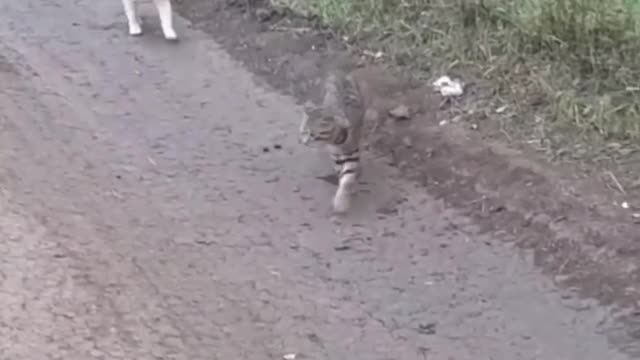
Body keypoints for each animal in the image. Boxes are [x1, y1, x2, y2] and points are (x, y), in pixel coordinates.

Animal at [298, 71, 364, 214]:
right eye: (303, 132)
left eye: (312, 135)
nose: (303, 142)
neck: (338, 141)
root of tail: (337, 73)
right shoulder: (337, 155)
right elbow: (342, 173)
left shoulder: (352, 152)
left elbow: (347, 178)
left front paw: (342, 199)